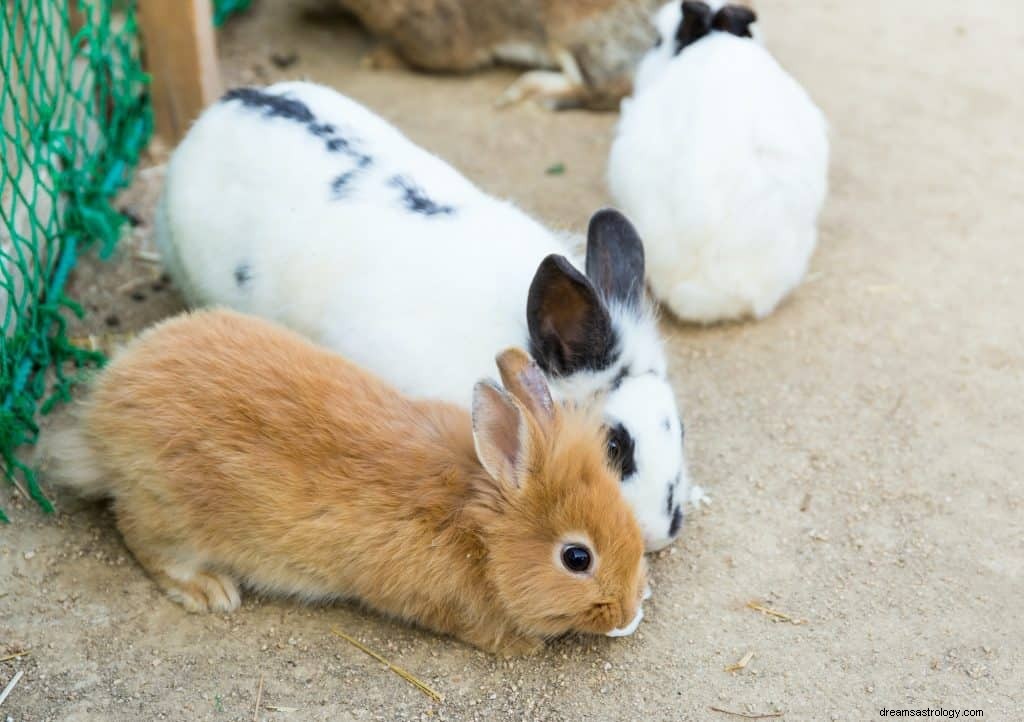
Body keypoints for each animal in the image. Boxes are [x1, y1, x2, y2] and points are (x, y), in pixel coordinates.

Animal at [49, 309, 647, 655]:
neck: (479, 525)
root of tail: (103, 416)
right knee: (144, 541)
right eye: (576, 558)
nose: (626, 610)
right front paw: (526, 647)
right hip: (169, 514)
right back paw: (210, 590)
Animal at [335, 0, 663, 108]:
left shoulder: (435, 30)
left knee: (610, 87)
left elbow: (423, 57)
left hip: (571, 29)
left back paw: (528, 92)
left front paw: (378, 57)